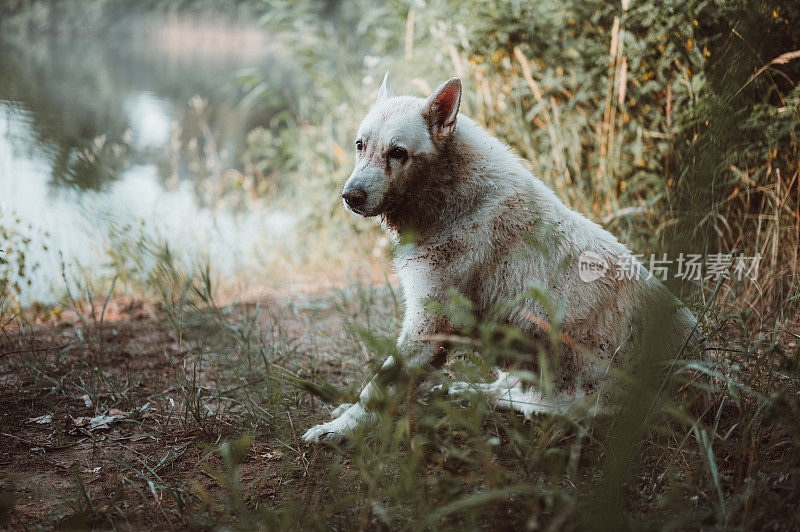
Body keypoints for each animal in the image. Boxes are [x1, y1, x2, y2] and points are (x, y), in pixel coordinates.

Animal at [304, 74, 696, 440]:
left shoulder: (429, 326)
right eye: (360, 146)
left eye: (397, 152)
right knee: (500, 390)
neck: (452, 198)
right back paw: (457, 392)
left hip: (571, 401)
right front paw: (342, 415)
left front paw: (339, 428)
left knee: (521, 403)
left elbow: (377, 387)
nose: (350, 196)